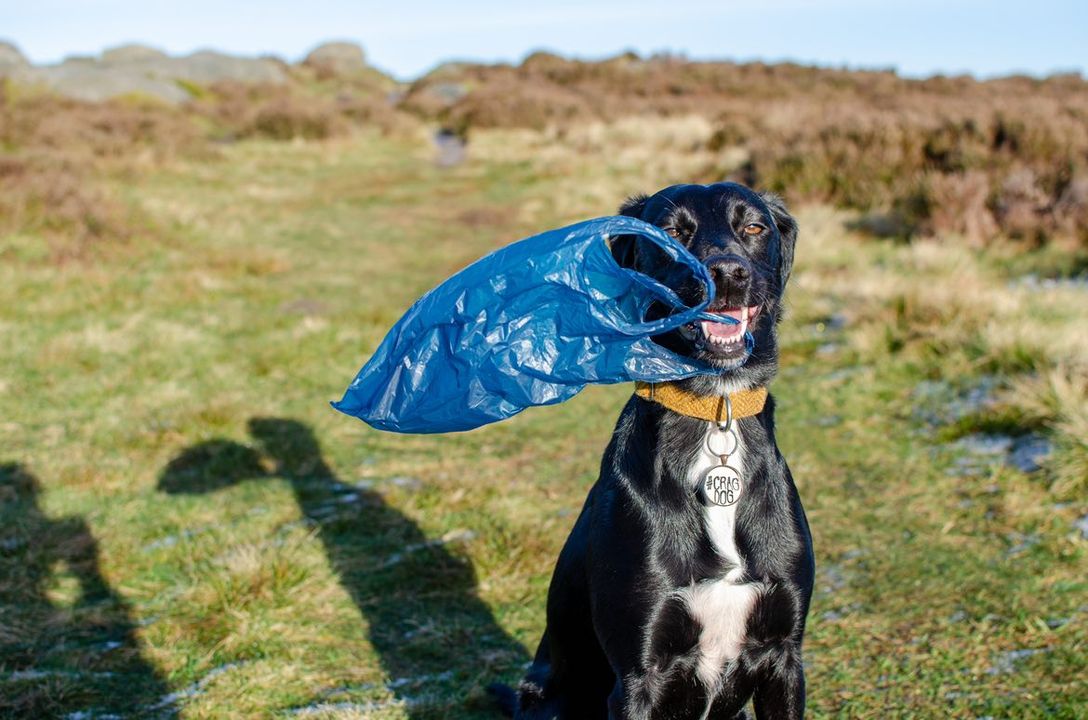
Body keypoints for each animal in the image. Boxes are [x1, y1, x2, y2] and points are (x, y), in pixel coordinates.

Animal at [498, 184, 813, 720]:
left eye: (754, 227)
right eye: (670, 232)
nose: (726, 274)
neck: (714, 406)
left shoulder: (784, 656)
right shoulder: (639, 675)